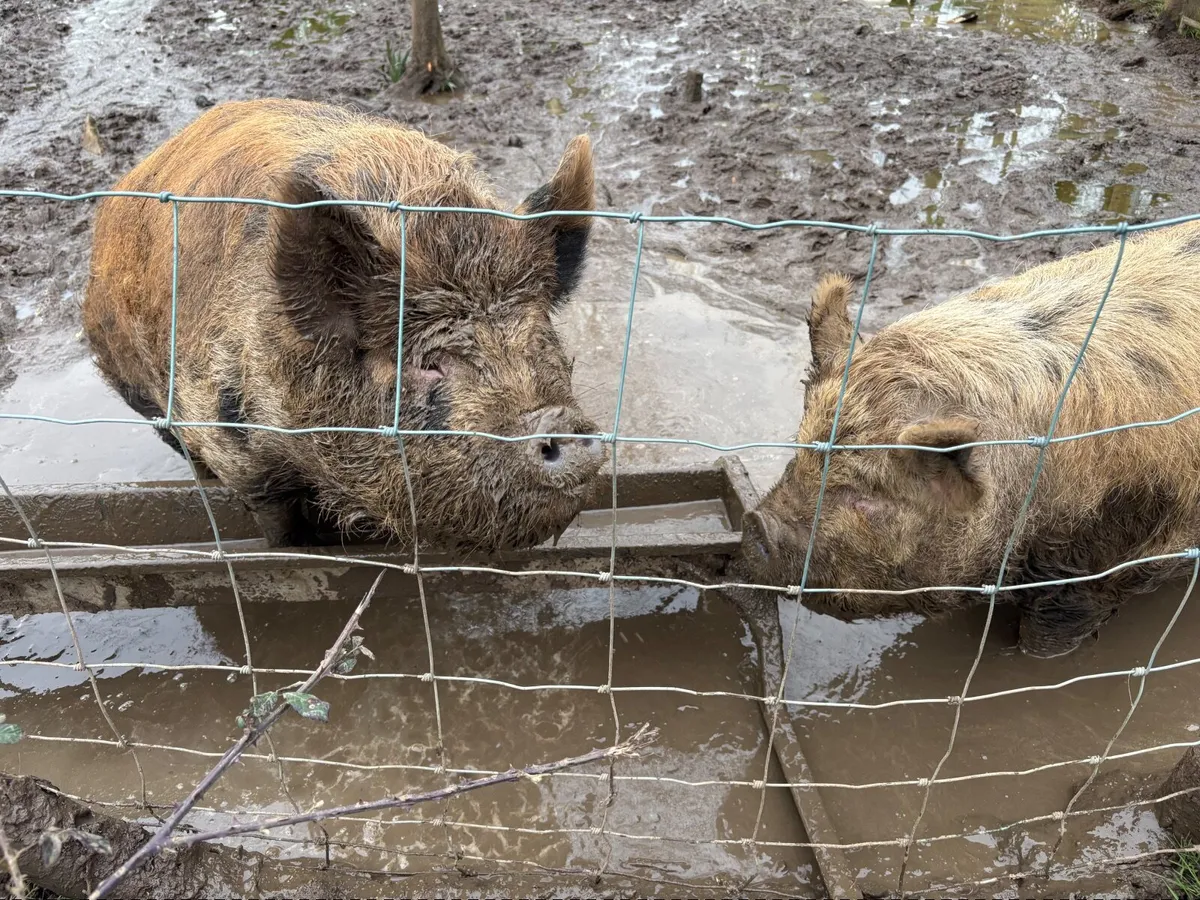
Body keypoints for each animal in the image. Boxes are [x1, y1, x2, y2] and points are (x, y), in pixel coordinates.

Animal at [82, 98, 606, 551]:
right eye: (428, 362)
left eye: (540, 335)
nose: (558, 420)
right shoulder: (233, 443)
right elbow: (279, 524)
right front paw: (303, 548)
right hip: (131, 383)